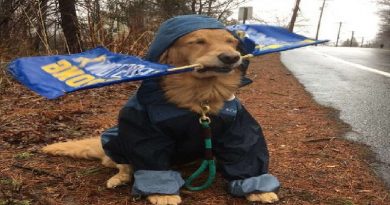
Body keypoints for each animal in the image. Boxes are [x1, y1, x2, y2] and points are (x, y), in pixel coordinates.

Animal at [42, 26, 278, 204]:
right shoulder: (146, 133)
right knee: (122, 165)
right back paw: (118, 178)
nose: (231, 57)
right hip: (117, 138)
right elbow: (151, 164)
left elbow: (246, 154)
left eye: (231, 42)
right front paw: (161, 193)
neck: (200, 96)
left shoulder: (238, 129)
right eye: (198, 41)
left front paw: (257, 188)